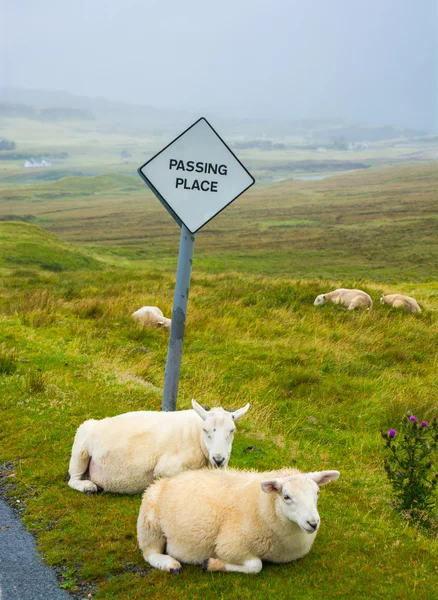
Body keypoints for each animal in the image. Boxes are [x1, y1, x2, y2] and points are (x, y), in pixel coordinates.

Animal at [66, 400, 248, 494]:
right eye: (206, 430)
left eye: (232, 430)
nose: (219, 459)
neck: (197, 437)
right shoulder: (166, 470)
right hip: (81, 447)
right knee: (73, 479)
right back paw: (88, 487)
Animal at [137, 466, 338, 576]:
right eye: (286, 496)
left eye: (317, 493)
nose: (313, 523)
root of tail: (169, 479)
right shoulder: (230, 546)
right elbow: (256, 566)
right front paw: (212, 564)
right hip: (150, 524)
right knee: (150, 553)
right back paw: (170, 564)